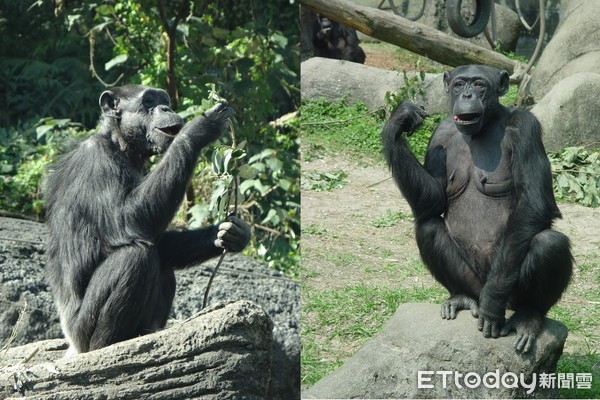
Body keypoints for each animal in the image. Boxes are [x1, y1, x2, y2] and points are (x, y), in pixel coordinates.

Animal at [44, 85, 251, 356]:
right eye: (149, 101)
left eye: (164, 101)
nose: (165, 108)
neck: (119, 144)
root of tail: (72, 346)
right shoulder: (96, 160)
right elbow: (127, 219)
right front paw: (199, 128)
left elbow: (157, 235)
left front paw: (227, 233)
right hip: (82, 331)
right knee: (135, 256)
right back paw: (109, 345)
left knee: (162, 258)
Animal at [382, 65, 576, 354]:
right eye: (459, 84)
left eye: (479, 85)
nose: (467, 94)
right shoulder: (440, 133)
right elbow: (434, 199)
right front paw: (399, 119)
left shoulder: (526, 127)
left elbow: (534, 203)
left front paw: (492, 306)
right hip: (472, 280)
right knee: (428, 227)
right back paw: (461, 297)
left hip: (510, 291)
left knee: (550, 243)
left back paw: (527, 316)